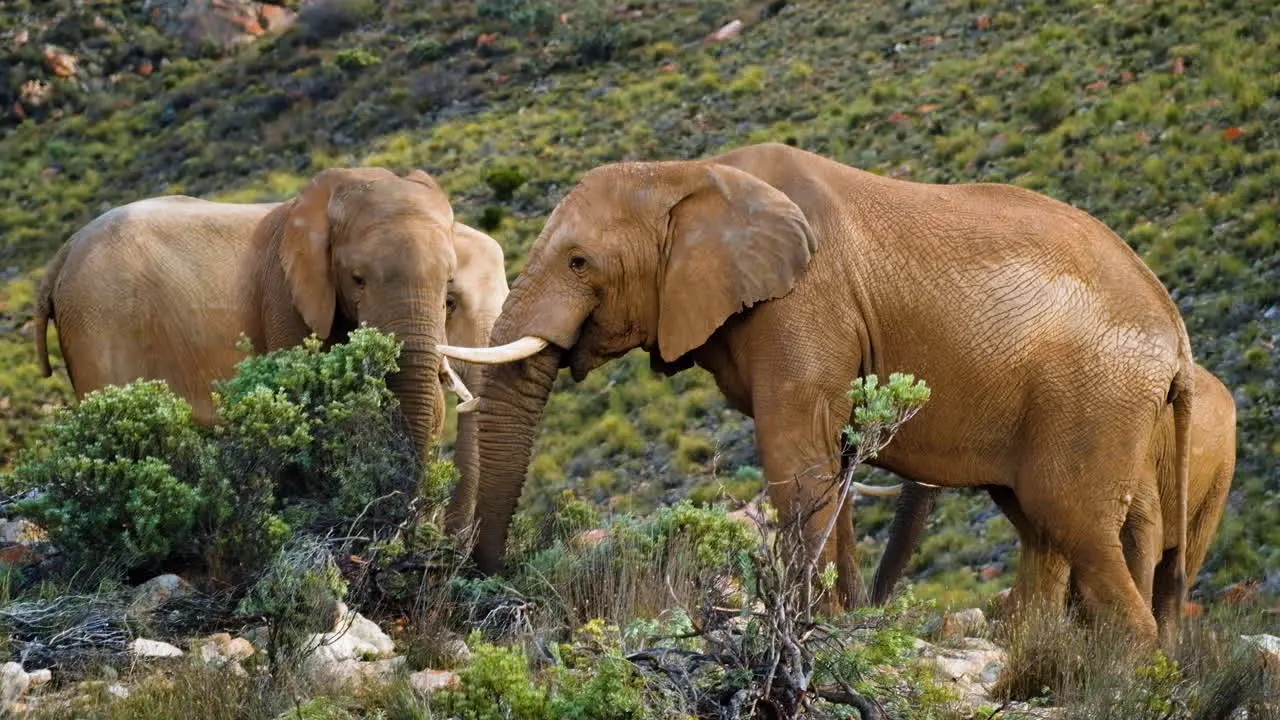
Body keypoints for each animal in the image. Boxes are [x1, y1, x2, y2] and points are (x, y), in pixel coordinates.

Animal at [445, 140, 1192, 645]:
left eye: (579, 262)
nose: (492, 582)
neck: (693, 172)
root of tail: (1177, 333)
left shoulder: (804, 303)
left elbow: (795, 457)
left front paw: (811, 628)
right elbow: (829, 468)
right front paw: (839, 622)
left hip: (1095, 395)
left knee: (1073, 521)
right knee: (1041, 528)